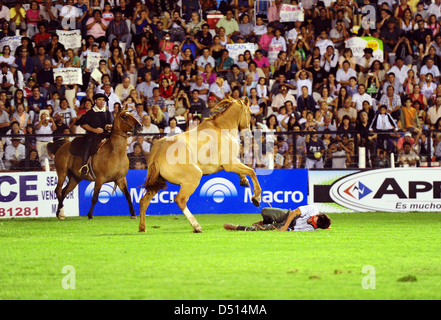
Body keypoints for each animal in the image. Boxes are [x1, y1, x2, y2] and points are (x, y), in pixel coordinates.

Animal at [138, 96, 262, 234]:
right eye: (250, 113)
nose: (248, 134)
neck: (221, 128)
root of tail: (159, 150)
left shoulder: (232, 162)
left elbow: (245, 171)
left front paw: (244, 181)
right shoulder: (230, 164)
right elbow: (251, 171)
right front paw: (256, 197)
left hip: (157, 182)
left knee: (144, 201)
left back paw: (142, 228)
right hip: (194, 177)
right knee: (180, 200)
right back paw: (196, 226)